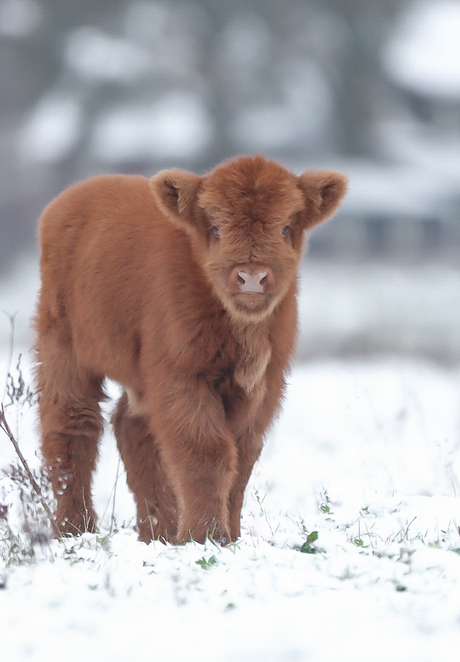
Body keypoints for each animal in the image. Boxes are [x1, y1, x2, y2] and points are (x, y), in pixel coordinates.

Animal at [34, 154, 346, 544]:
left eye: (286, 228)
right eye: (216, 228)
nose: (252, 277)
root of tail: (70, 198)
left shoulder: (264, 387)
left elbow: (241, 457)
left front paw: (231, 535)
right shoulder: (182, 377)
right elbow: (205, 451)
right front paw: (204, 535)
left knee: (132, 428)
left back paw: (159, 532)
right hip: (62, 346)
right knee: (71, 426)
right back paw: (76, 529)